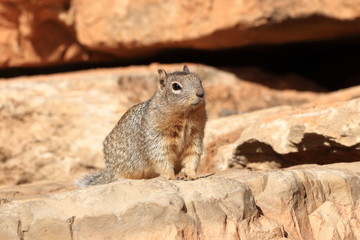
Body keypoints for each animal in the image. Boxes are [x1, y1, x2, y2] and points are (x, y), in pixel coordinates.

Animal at [78, 65, 208, 188]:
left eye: (200, 81)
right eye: (176, 86)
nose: (200, 94)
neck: (186, 116)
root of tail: (108, 173)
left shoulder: (195, 138)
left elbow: (192, 158)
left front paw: (192, 176)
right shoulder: (158, 140)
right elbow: (162, 160)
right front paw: (171, 177)